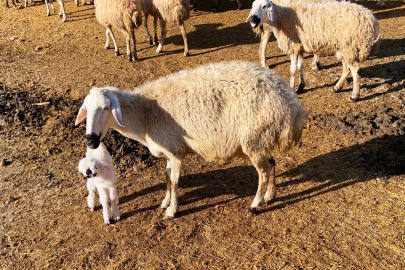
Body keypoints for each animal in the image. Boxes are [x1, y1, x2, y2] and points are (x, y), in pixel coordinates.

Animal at [75, 60, 306, 219]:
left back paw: (255, 205)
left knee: (263, 172)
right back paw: (270, 196)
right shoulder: (168, 153)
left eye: (106, 108)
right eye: (85, 109)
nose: (91, 140)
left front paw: (171, 211)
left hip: (255, 138)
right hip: (263, 139)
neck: (145, 115)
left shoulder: (175, 151)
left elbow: (175, 182)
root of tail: (292, 103)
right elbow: (167, 177)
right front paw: (165, 201)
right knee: (272, 164)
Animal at [245, 0, 380, 101]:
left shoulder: (294, 47)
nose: (252, 19)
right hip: (344, 49)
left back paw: (354, 95)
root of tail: (373, 22)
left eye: (264, 6)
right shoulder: (299, 46)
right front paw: (301, 86)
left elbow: (292, 70)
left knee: (356, 71)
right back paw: (337, 87)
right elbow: (300, 66)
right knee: (347, 69)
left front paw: (292, 88)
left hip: (349, 47)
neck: (281, 17)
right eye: (252, 6)